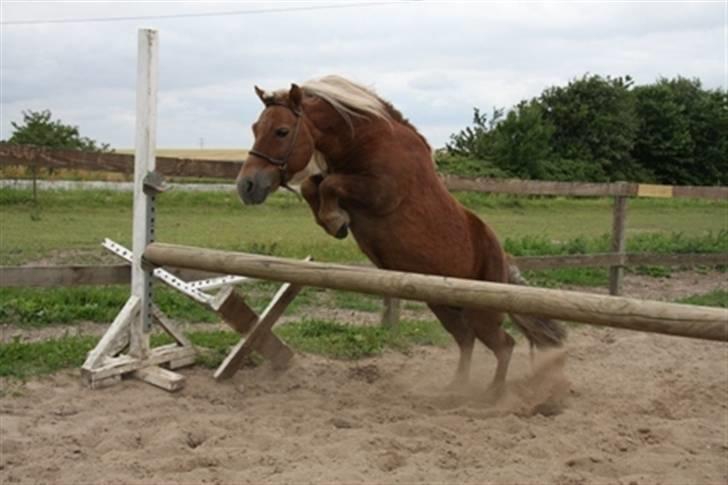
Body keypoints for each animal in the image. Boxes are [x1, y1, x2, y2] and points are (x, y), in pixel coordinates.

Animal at [236, 75, 564, 394]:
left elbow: (331, 184)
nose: (246, 186)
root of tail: (503, 261)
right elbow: (312, 185)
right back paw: (456, 388)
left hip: (481, 310)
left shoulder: (380, 192)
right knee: (466, 339)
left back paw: (493, 395)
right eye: (255, 128)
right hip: (443, 305)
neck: (365, 141)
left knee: (503, 344)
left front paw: (335, 220)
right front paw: (335, 221)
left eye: (281, 131)